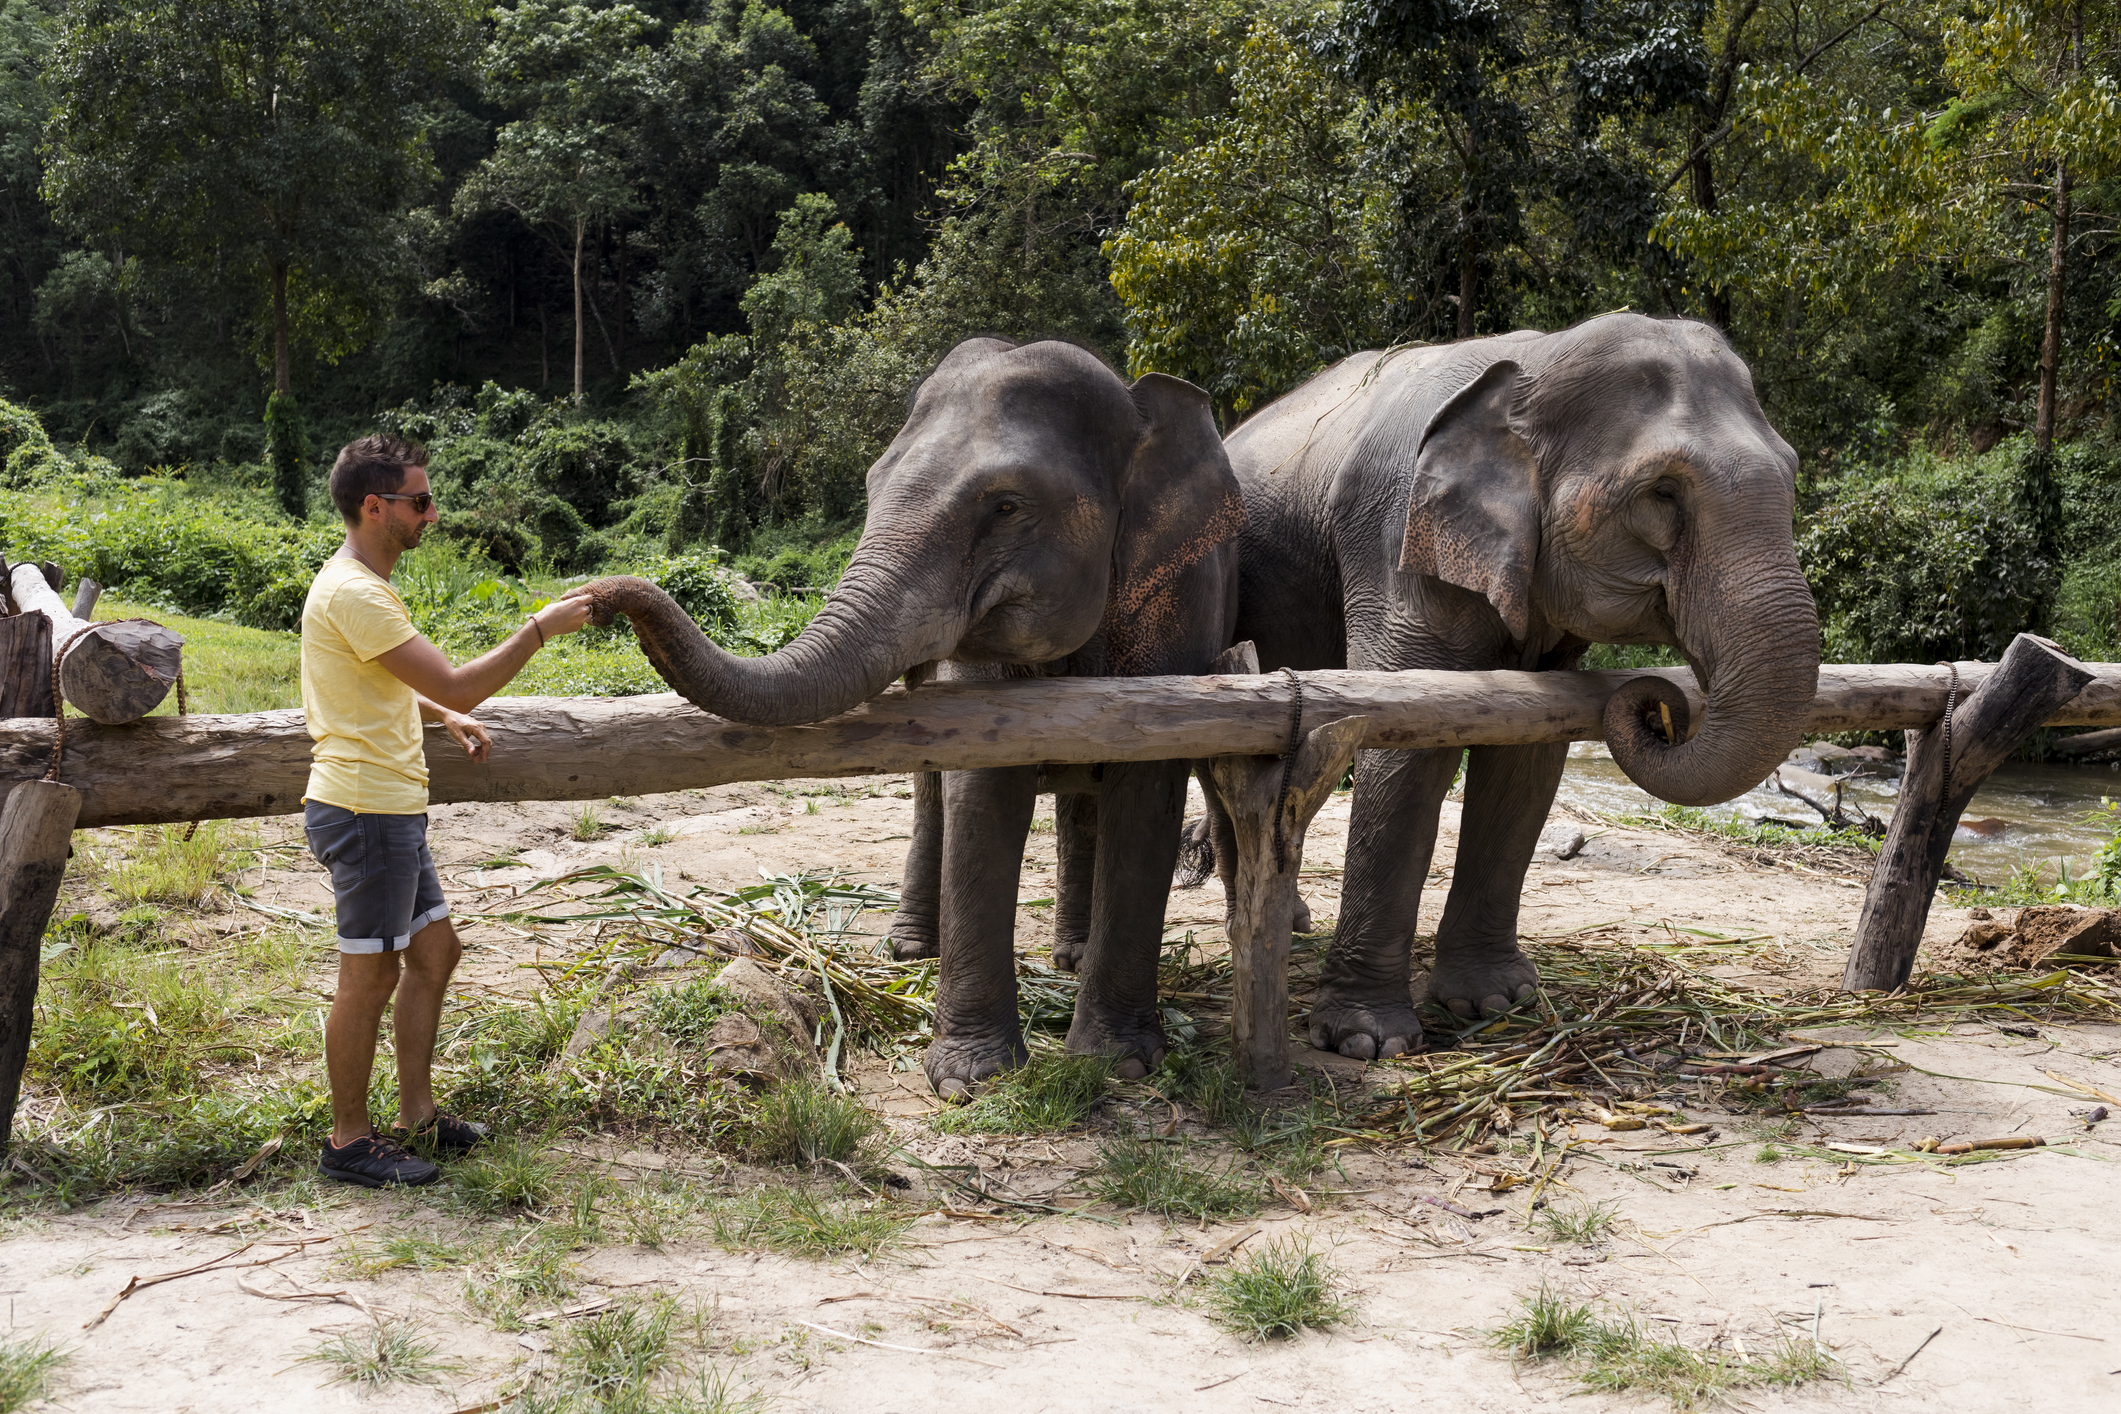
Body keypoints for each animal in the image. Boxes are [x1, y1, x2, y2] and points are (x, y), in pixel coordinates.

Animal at [575, 337, 1242, 1094]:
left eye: (1007, 505)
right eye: (871, 485)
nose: (593, 599)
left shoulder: (1186, 602)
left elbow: (1147, 786)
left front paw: (1120, 1064)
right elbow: (982, 782)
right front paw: (971, 1081)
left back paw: (1068, 958)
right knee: (934, 788)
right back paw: (911, 951)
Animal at [1197, 312, 1819, 1059]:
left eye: (1790, 475)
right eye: (1662, 493)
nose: (1659, 704)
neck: (1537, 360)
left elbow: (1527, 754)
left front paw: (1494, 1002)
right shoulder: (1395, 537)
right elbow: (1404, 751)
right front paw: (1367, 1043)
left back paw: (1289, 921)